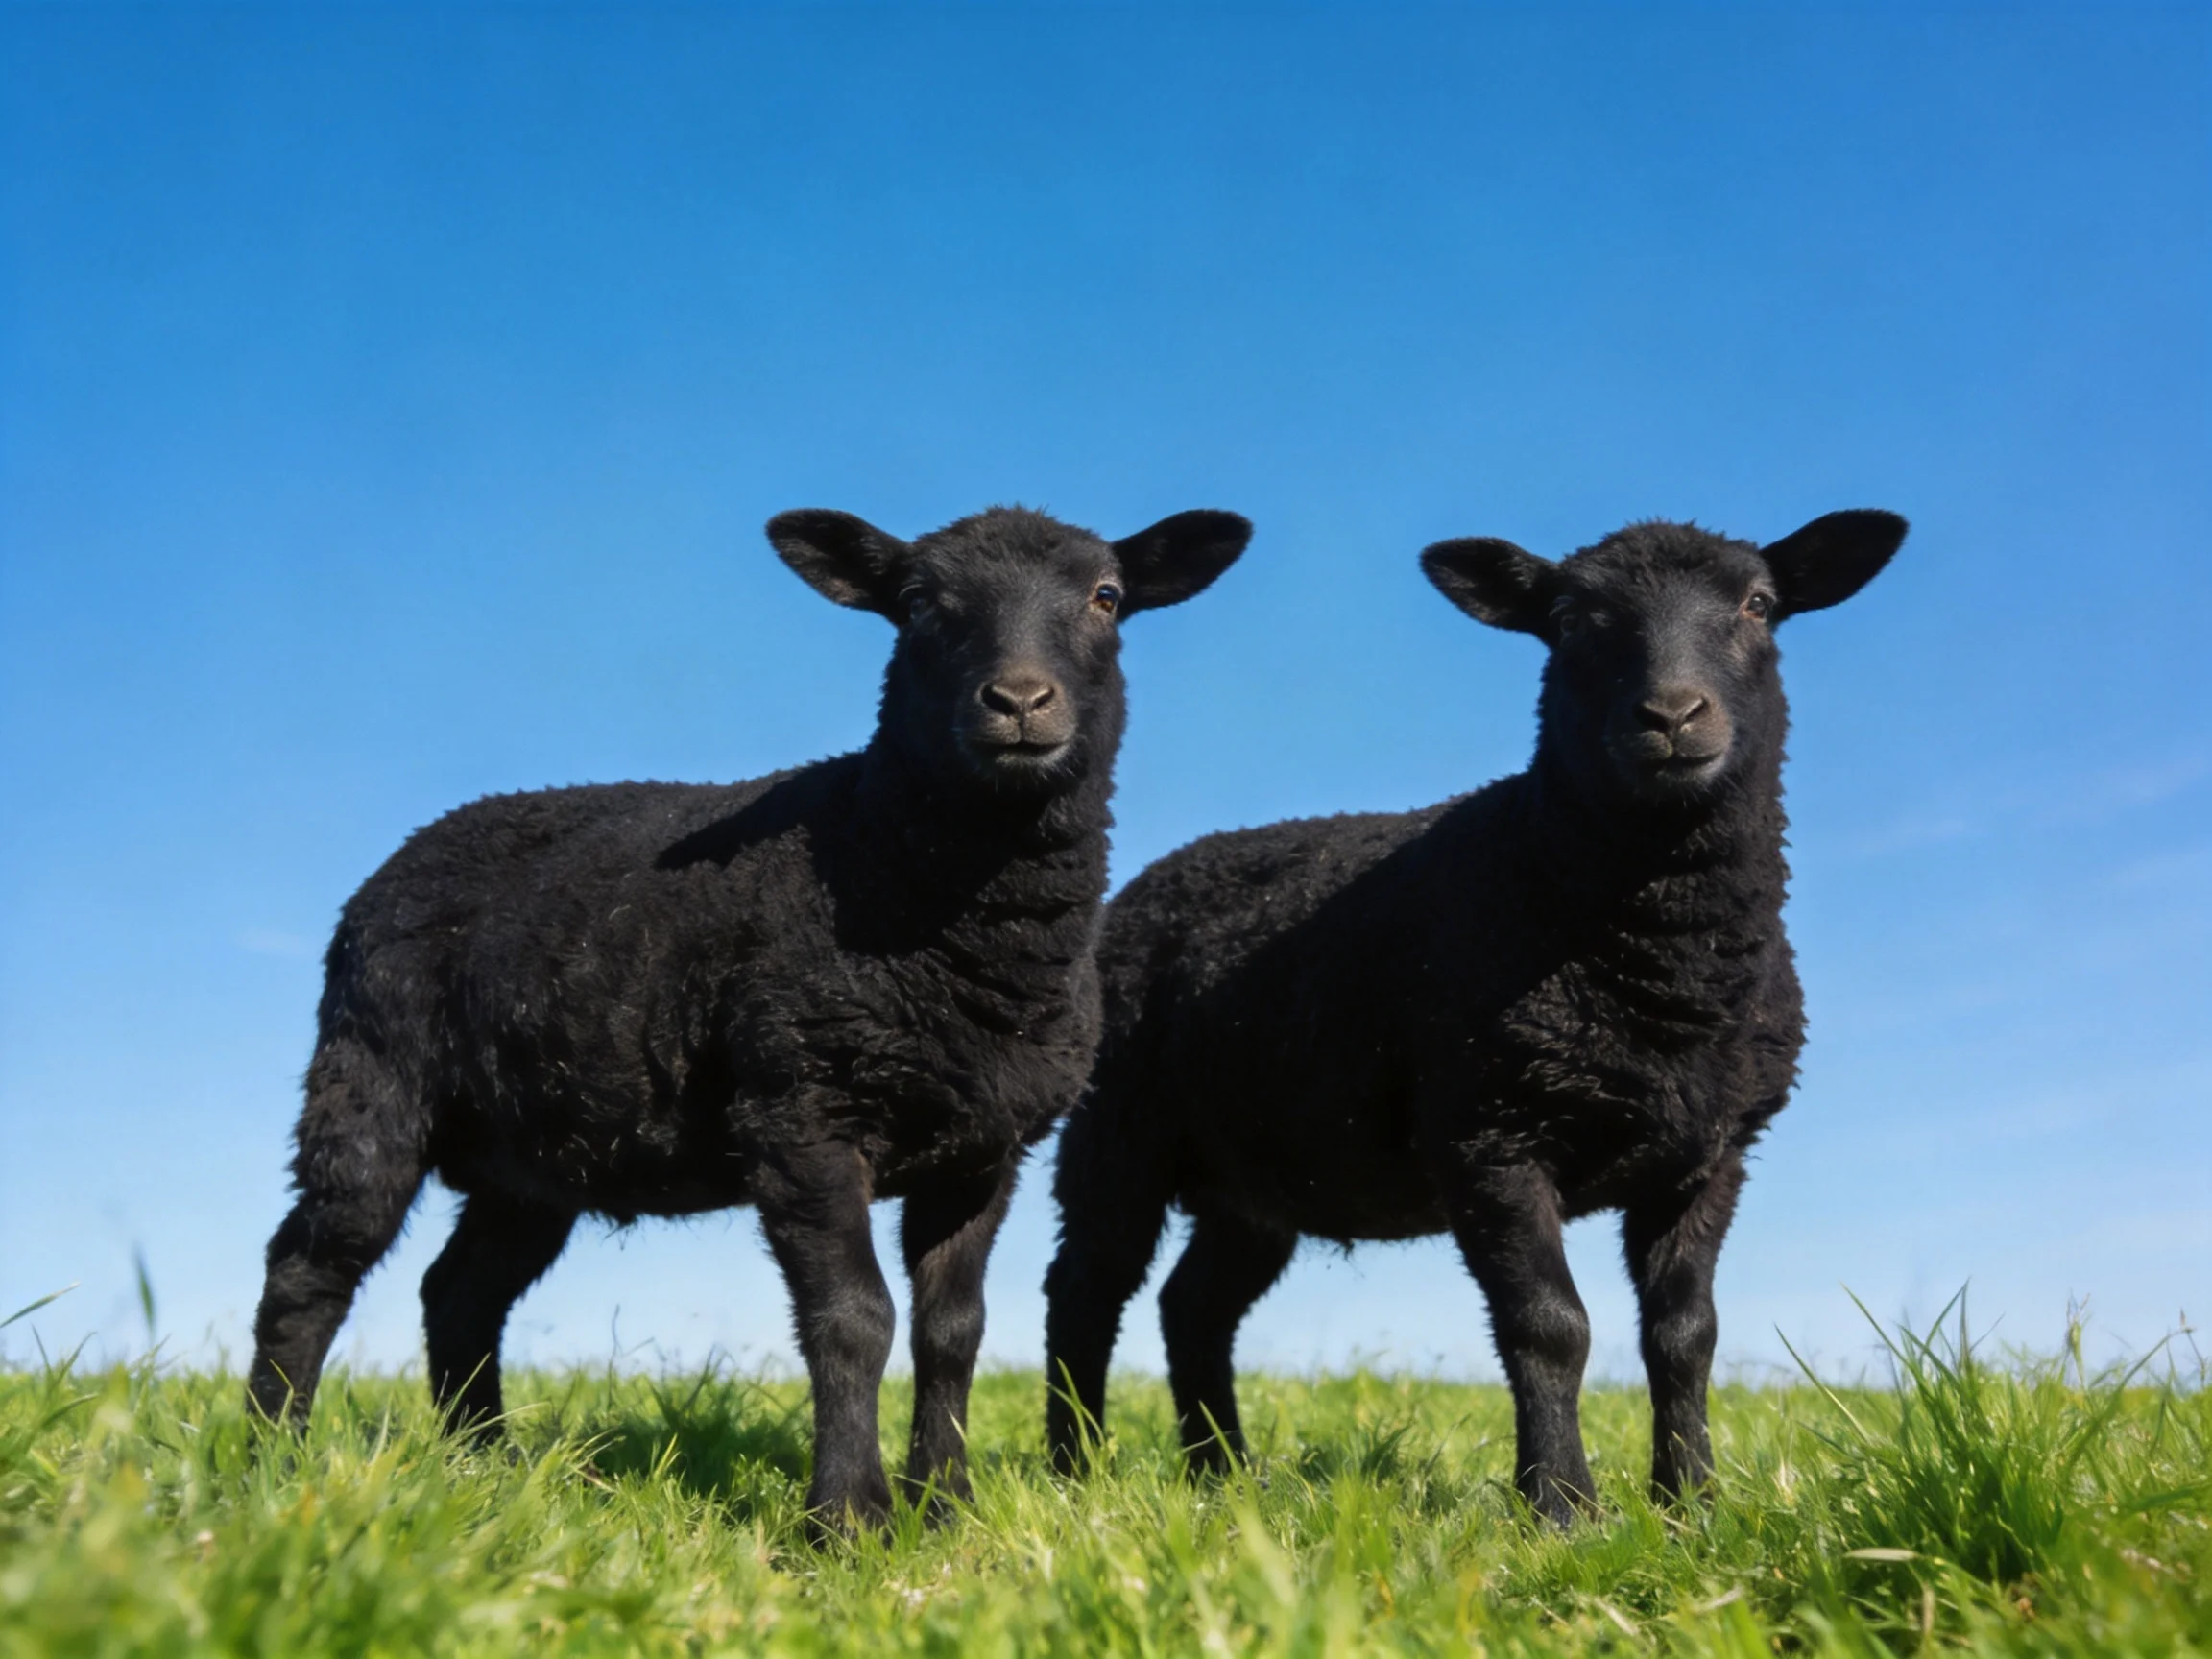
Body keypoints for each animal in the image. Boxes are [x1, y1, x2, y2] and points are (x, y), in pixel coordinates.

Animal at [246, 503, 1253, 1529]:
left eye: (1107, 597)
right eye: (918, 602)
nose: (1017, 701)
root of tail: (408, 854)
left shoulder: (982, 1148)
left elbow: (953, 1328)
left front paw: (946, 1506)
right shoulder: (799, 1112)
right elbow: (854, 1319)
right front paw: (848, 1519)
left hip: (531, 1155)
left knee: (459, 1293)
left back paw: (483, 1467)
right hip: (371, 1074)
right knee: (310, 1267)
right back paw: (270, 1460)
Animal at [1041, 510, 1907, 1523]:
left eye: (1759, 605)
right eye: (1570, 621)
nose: (1672, 717)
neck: (1665, 968)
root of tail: (1151, 880)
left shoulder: (1710, 1154)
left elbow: (1687, 1331)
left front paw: (1691, 1504)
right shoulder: (1489, 1132)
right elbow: (1551, 1326)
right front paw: (1563, 1509)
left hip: (1254, 1181)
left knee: (1194, 1307)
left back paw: (1223, 1474)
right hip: (1118, 1133)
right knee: (1085, 1292)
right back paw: (1073, 1470)